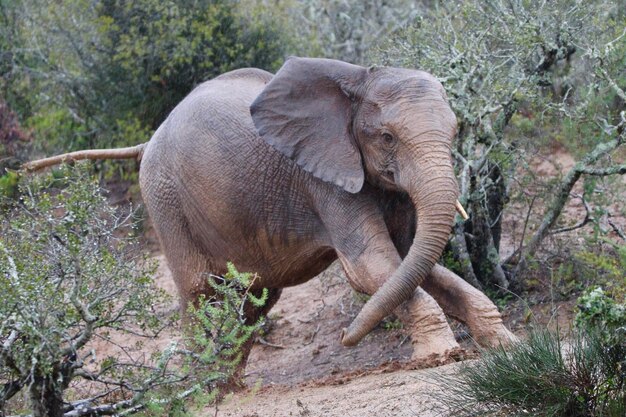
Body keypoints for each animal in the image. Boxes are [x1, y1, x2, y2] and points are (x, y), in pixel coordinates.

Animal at [25, 57, 512, 370]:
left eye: (456, 131)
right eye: (388, 137)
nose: (345, 337)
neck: (357, 79)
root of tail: (149, 138)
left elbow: (412, 262)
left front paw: (507, 346)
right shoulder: (324, 181)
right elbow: (372, 268)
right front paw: (443, 355)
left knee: (252, 300)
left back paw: (226, 387)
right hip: (164, 198)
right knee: (199, 292)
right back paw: (196, 390)